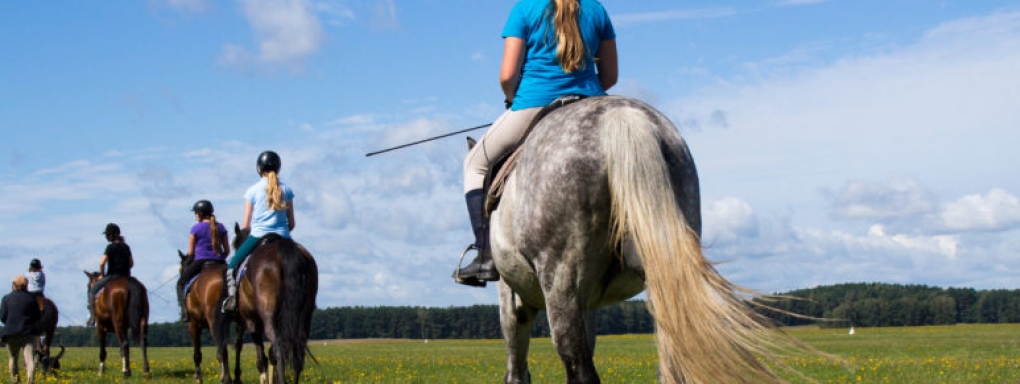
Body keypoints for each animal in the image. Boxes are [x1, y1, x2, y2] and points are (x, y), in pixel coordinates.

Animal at [177, 252, 242, 384]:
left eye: (181, 269)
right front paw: (221, 374)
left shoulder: (193, 325)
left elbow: (197, 354)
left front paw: (198, 378)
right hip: (239, 320)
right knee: (237, 345)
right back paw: (236, 378)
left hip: (214, 322)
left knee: (223, 348)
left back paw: (228, 379)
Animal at [219, 224, 318, 384]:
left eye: (235, 245)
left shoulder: (250, 320)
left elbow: (261, 359)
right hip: (304, 317)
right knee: (297, 352)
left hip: (267, 316)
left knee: (279, 348)